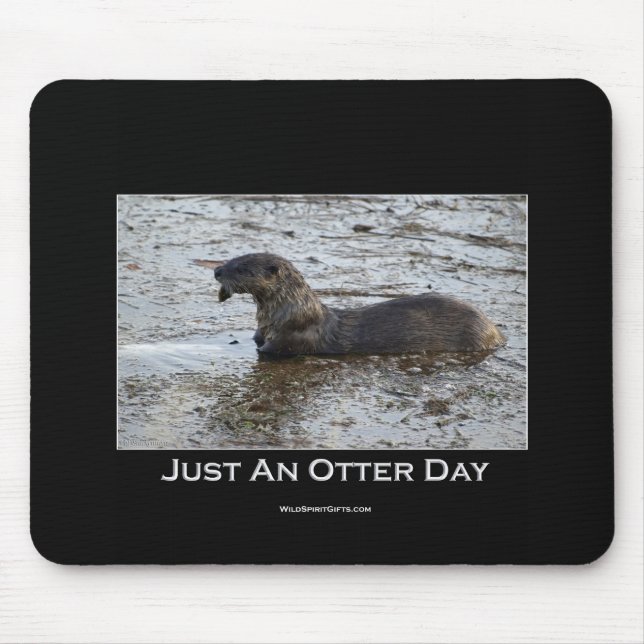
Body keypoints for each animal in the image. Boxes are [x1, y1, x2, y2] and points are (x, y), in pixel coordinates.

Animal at [214, 253, 505, 356]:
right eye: (232, 258)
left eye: (241, 268)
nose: (217, 270)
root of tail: (495, 331)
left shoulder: (293, 336)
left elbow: (270, 350)